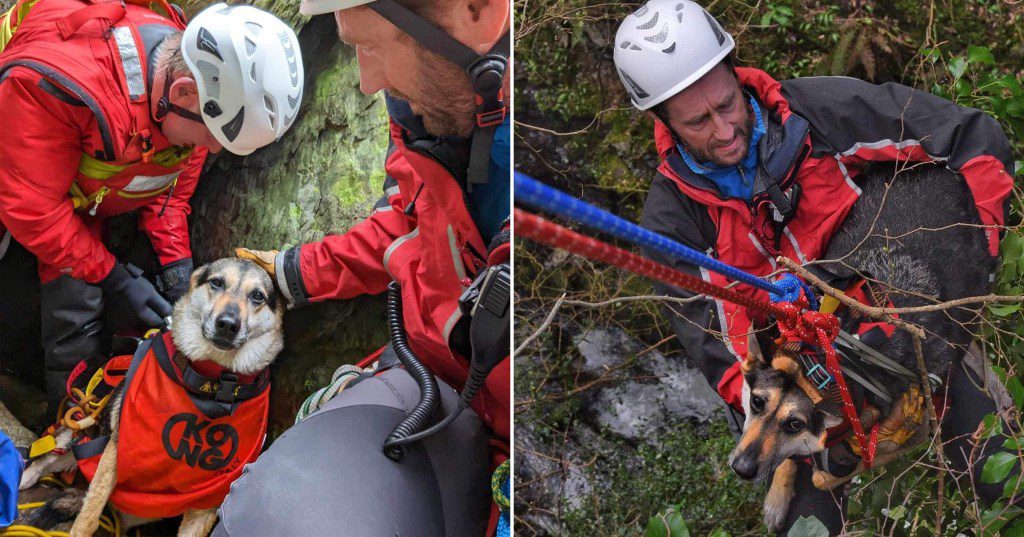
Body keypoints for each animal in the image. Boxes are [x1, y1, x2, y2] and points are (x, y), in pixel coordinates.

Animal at [19, 257, 284, 537]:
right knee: (42, 462)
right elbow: (87, 519)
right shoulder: (112, 456)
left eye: (258, 296)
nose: (228, 324)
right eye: (217, 283)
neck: (213, 385)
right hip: (76, 439)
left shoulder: (206, 505)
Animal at [729, 162, 999, 528]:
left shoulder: (912, 431)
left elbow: (821, 472)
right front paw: (777, 494)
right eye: (756, 402)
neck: (833, 361)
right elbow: (798, 457)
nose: (741, 469)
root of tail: (938, 167)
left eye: (795, 424)